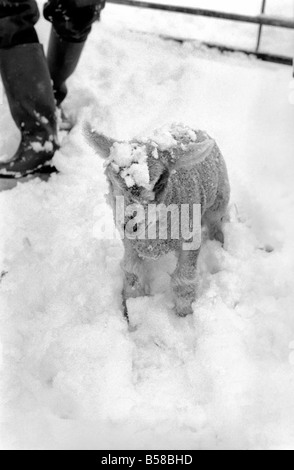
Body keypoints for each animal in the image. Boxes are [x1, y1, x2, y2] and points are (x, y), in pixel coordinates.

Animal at [84, 123, 230, 318]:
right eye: (111, 181)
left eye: (159, 183)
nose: (130, 224)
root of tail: (187, 125)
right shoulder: (130, 243)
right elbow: (132, 273)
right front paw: (132, 308)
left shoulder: (190, 238)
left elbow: (184, 280)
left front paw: (184, 315)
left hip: (218, 200)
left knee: (216, 227)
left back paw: (219, 246)